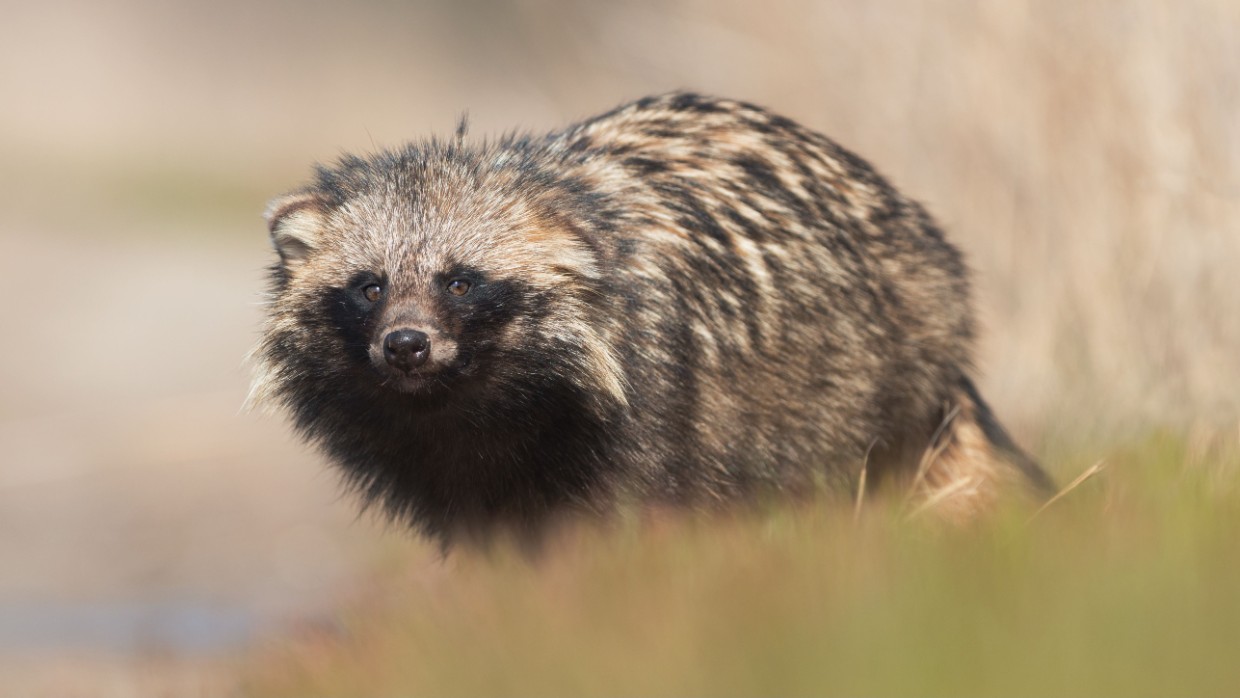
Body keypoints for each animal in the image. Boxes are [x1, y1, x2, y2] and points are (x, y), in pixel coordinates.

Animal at [252, 92, 1053, 543]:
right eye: (369, 287)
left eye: (460, 281)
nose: (407, 346)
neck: (477, 419)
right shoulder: (459, 494)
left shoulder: (651, 427)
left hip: (849, 408)